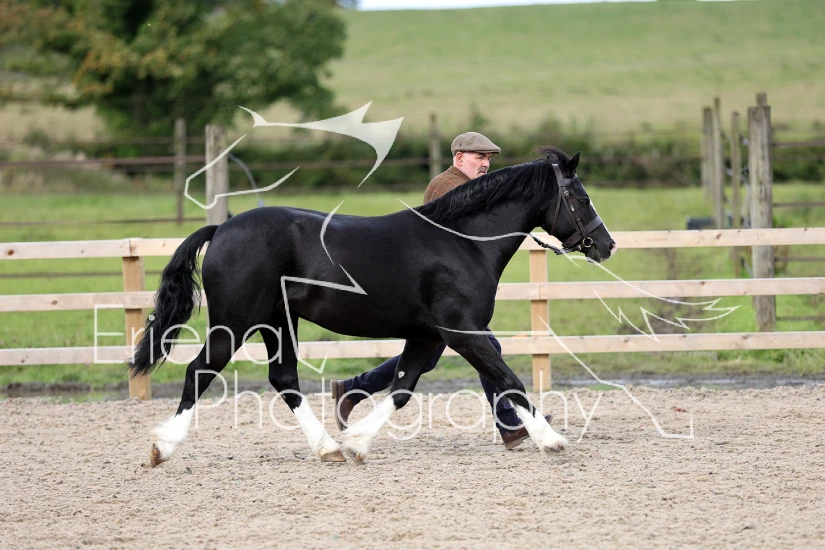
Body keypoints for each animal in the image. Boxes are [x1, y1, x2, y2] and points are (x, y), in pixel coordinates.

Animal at [129, 147, 616, 466]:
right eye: (582, 197)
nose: (606, 245)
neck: (463, 242)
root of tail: (222, 229)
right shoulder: (463, 331)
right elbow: (509, 379)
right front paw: (552, 439)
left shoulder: (427, 336)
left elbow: (402, 388)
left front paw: (357, 443)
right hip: (235, 323)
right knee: (200, 371)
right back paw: (162, 448)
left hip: (278, 322)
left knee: (284, 379)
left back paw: (328, 449)